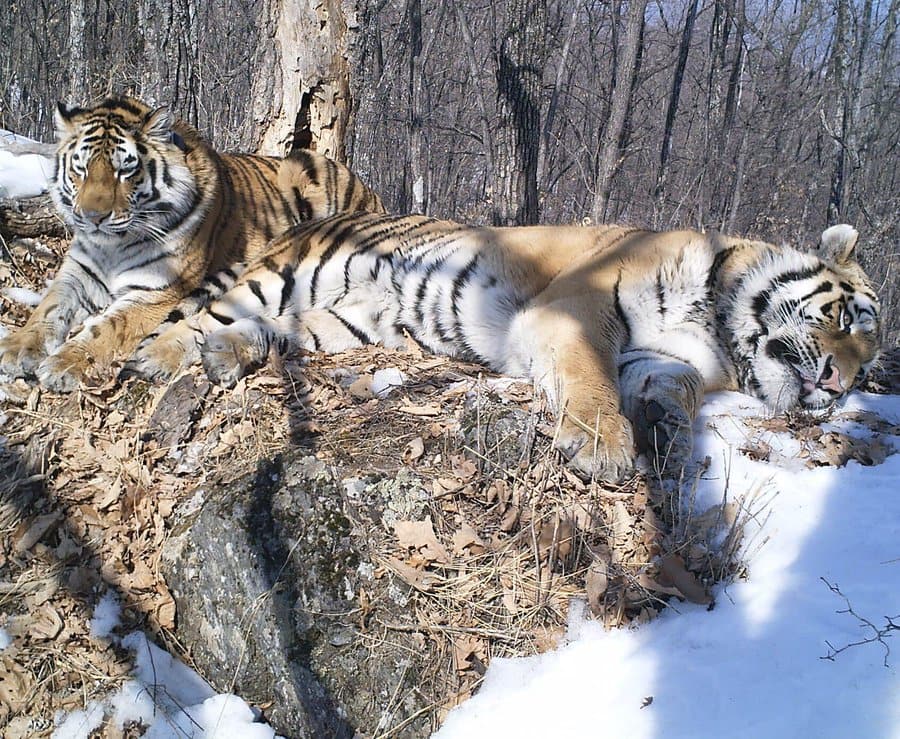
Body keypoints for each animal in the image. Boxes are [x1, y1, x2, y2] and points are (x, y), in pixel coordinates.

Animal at [0, 95, 384, 391]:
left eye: (125, 170)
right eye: (80, 169)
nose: (93, 217)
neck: (112, 246)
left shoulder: (155, 293)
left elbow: (106, 329)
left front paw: (63, 363)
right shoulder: (77, 274)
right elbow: (46, 309)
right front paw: (15, 349)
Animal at [123, 212, 881, 482]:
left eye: (870, 362)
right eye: (847, 320)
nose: (840, 385)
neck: (717, 322)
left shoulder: (665, 357)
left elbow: (674, 387)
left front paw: (665, 428)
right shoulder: (576, 308)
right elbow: (589, 379)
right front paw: (604, 447)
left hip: (345, 323)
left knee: (269, 332)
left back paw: (228, 355)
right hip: (285, 276)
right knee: (193, 317)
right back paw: (158, 359)